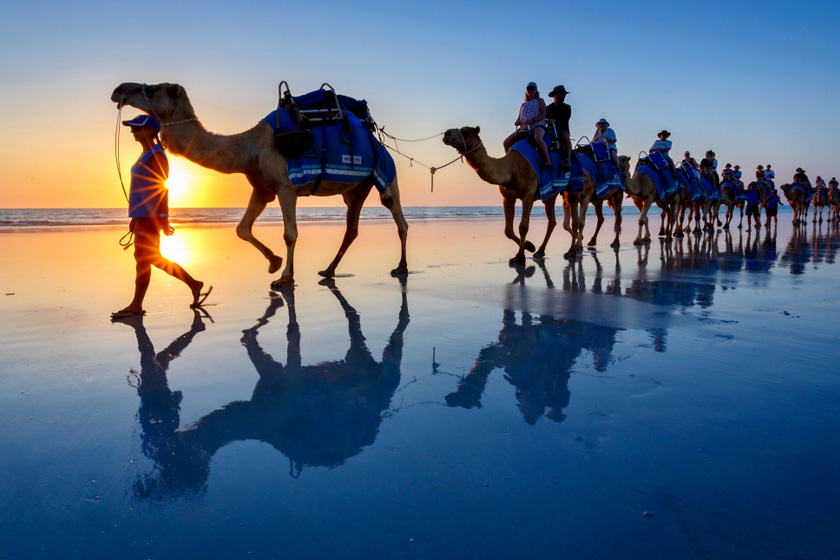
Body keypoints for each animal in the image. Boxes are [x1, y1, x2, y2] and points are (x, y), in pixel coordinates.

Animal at [111, 82, 410, 288]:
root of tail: (374, 135)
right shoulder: (262, 188)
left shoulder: (285, 186)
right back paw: (328, 270)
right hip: (356, 189)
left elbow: (290, 233)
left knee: (397, 214)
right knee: (352, 228)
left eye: (154, 89)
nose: (119, 90)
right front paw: (274, 263)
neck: (249, 147)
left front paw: (285, 277)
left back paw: (402, 267)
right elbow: (242, 228)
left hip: (386, 170)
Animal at [442, 126, 592, 260]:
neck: (509, 168)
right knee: (552, 221)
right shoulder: (507, 197)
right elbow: (508, 230)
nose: (446, 134)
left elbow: (523, 227)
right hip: (550, 195)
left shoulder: (528, 195)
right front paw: (529, 246)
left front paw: (520, 256)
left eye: (465, 132)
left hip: (573, 188)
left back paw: (571, 251)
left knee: (575, 221)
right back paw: (540, 251)